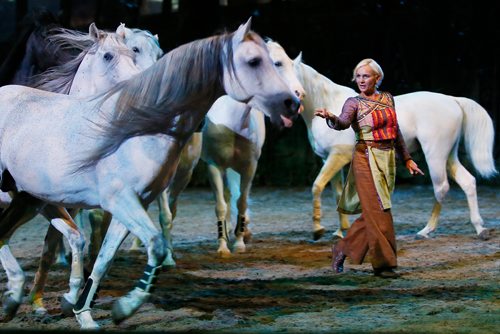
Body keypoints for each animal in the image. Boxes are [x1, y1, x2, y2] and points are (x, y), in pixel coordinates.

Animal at [0, 18, 298, 328]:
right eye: (254, 61)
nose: (292, 102)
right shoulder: (113, 201)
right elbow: (144, 244)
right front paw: (118, 306)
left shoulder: (126, 205)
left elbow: (103, 257)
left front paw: (84, 310)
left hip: (29, 201)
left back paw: (16, 297)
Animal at [290, 51, 496, 240]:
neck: (329, 101)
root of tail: (453, 100)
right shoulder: (329, 158)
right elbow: (337, 192)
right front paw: (341, 231)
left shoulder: (338, 156)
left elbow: (317, 186)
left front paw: (318, 230)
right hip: (449, 155)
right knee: (467, 181)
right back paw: (479, 228)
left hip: (435, 154)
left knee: (442, 187)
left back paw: (426, 230)